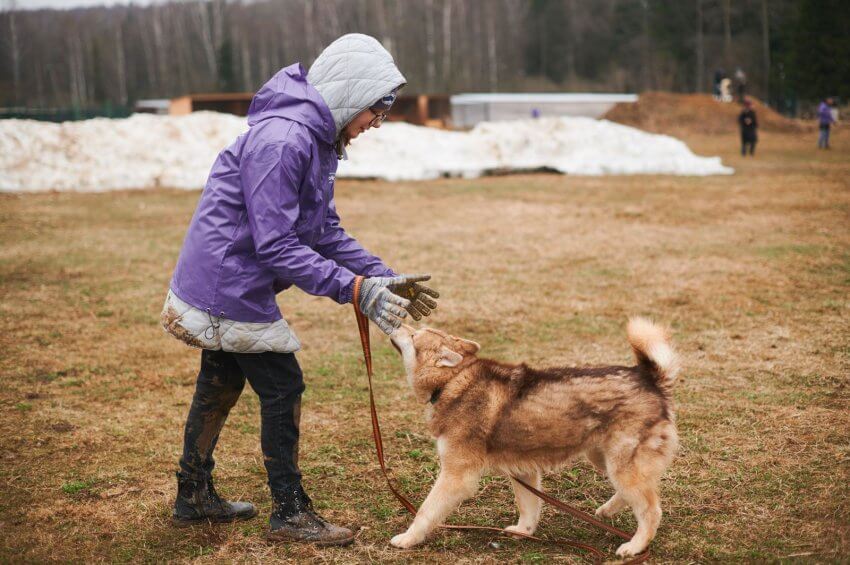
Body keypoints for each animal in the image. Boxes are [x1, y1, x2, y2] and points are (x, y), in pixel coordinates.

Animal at [388, 316, 680, 556]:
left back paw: (635, 546)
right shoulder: (523, 470)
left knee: (651, 510)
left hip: (621, 466)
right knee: (634, 492)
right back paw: (608, 510)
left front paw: (407, 538)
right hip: (603, 458)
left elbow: (426, 511)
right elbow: (528, 509)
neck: (454, 380)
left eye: (414, 335)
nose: (396, 320)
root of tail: (649, 378)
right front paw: (524, 532)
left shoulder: (456, 476)